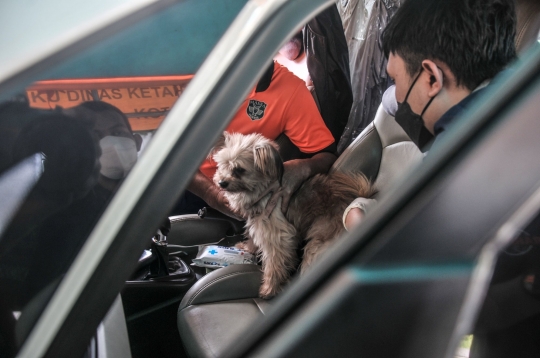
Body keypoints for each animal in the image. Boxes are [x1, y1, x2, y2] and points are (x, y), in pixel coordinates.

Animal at [212, 133, 376, 298]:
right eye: (222, 165)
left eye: (239, 169)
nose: (221, 183)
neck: (261, 188)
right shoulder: (258, 223)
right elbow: (253, 238)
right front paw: (247, 247)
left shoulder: (277, 235)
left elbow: (274, 263)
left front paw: (269, 288)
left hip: (318, 246)